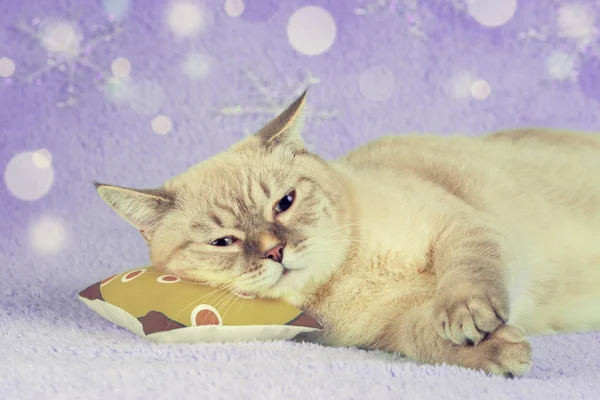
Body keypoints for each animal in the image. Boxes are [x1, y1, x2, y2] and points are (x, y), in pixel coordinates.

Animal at [94, 91, 600, 378]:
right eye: (224, 243)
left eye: (284, 203)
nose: (275, 251)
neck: (350, 275)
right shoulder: (393, 328)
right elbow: (429, 340)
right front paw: (496, 350)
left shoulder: (459, 227)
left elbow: (468, 275)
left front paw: (468, 317)